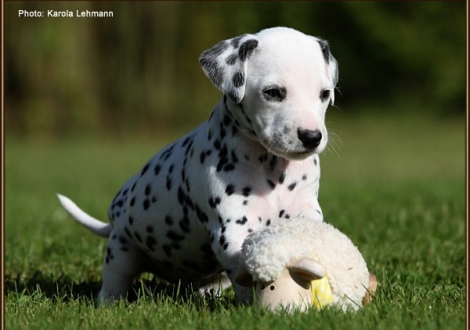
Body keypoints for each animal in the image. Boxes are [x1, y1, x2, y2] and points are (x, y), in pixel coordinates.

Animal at [57, 26, 338, 304]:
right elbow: (244, 274)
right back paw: (109, 303)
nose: (311, 137)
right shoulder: (232, 228)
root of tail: (113, 216)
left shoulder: (306, 208)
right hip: (122, 251)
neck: (271, 166)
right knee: (115, 281)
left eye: (324, 94)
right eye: (273, 92)